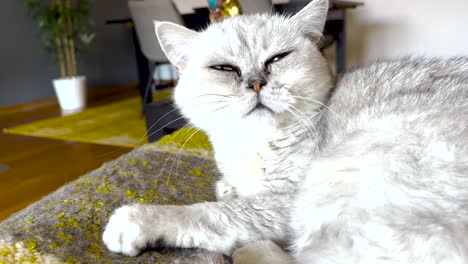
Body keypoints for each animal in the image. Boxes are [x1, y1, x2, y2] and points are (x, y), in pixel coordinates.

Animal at [102, 1, 468, 262]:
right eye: (224, 69)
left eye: (277, 59)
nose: (255, 83)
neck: (249, 147)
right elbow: (227, 190)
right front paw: (229, 187)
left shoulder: (281, 202)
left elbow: (213, 213)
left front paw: (135, 221)